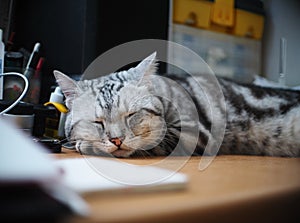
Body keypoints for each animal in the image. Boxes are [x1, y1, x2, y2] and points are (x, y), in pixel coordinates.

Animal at [54, 52, 300, 157]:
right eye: (97, 122)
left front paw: (85, 145)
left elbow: (154, 140)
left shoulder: (194, 133)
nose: (116, 140)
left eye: (131, 115)